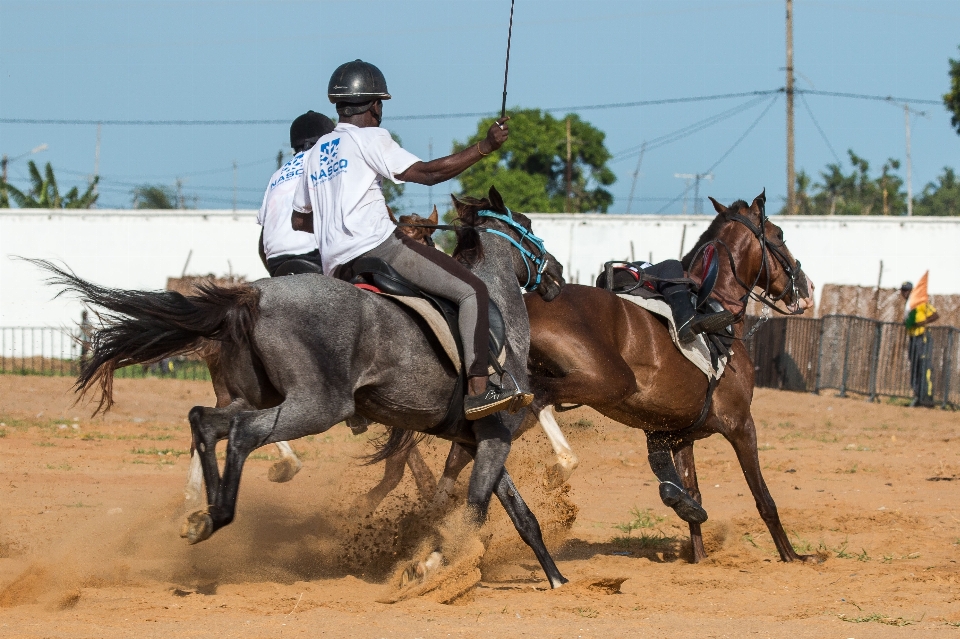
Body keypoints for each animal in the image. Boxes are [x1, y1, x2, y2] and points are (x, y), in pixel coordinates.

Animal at [41, 185, 568, 592]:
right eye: (527, 226)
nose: (559, 274)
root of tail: (254, 294)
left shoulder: (480, 439)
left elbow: (520, 515)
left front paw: (556, 579)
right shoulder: (494, 436)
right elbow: (474, 512)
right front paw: (431, 565)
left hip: (255, 397)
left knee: (205, 422)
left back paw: (200, 513)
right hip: (316, 406)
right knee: (245, 434)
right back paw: (220, 511)